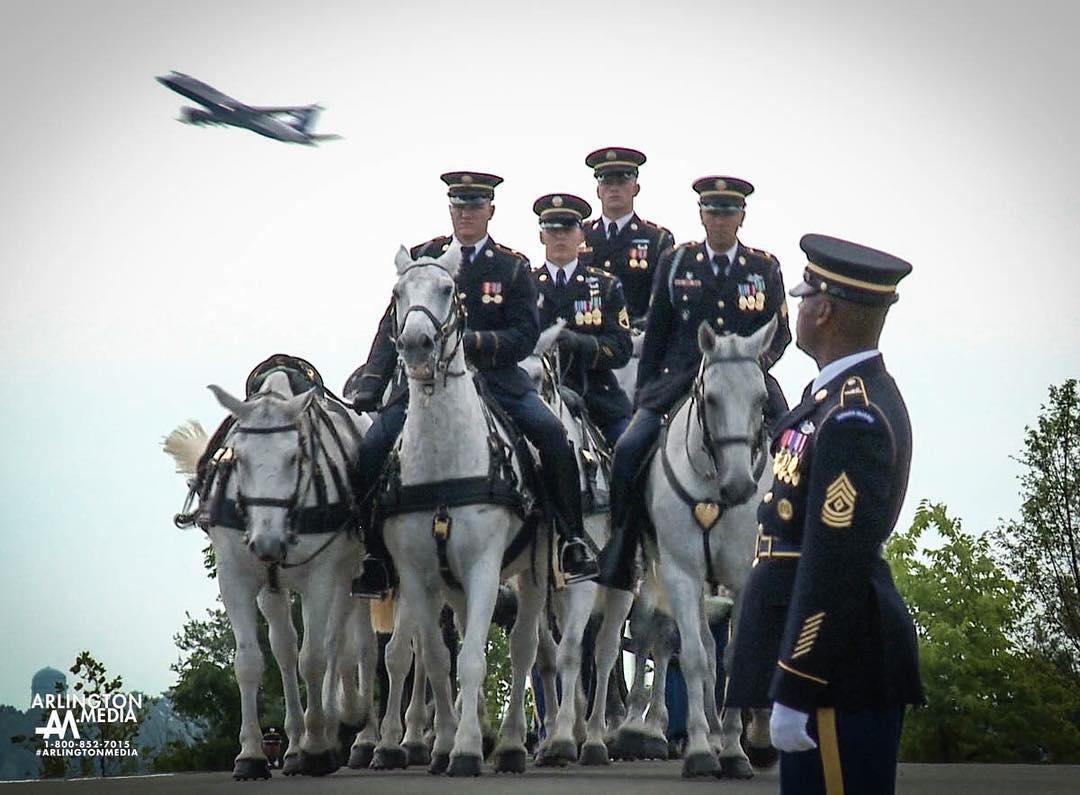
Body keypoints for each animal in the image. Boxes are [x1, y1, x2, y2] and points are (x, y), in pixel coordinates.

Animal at [163, 371, 375, 777]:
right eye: (237, 456)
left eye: (295, 456)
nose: (267, 543)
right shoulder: (237, 576)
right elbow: (249, 662)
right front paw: (251, 754)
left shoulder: (321, 577)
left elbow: (315, 658)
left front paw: (316, 746)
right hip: (273, 590)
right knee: (286, 648)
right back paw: (293, 746)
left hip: (346, 574)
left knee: (338, 645)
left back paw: (337, 724)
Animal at [380, 244, 548, 777]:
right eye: (397, 293)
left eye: (447, 289)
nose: (417, 344)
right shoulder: (416, 574)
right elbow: (436, 660)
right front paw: (445, 745)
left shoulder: (484, 567)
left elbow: (475, 658)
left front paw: (470, 750)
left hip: (535, 573)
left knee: (524, 651)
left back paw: (512, 745)